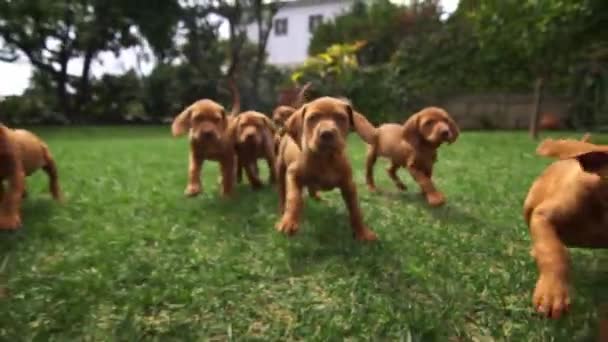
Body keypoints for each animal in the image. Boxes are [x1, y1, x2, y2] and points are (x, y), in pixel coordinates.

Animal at [274, 96, 376, 240]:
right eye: (312, 118)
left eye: (341, 117)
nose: (326, 133)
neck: (326, 159)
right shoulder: (293, 173)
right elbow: (294, 197)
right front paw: (289, 222)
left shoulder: (349, 185)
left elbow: (355, 210)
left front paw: (363, 232)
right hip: (280, 168)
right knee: (283, 193)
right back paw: (282, 211)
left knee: (311, 188)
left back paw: (317, 197)